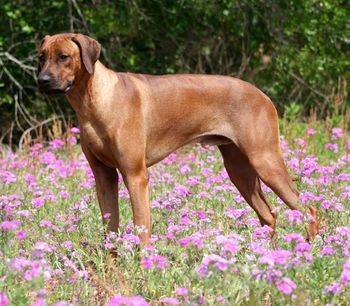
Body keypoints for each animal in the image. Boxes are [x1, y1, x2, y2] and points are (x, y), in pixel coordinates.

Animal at [37, 33, 320, 244]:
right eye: (41, 56)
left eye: (63, 57)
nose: (42, 80)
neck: (94, 100)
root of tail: (263, 95)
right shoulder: (104, 175)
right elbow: (110, 229)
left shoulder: (135, 174)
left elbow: (142, 228)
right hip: (239, 168)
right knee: (269, 215)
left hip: (265, 160)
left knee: (308, 209)